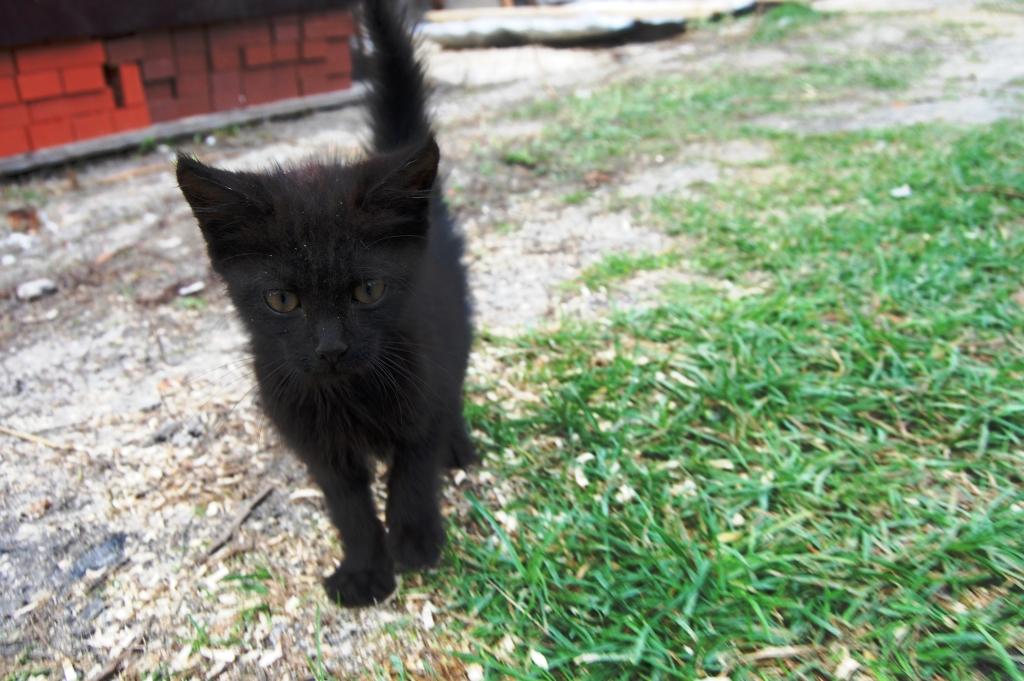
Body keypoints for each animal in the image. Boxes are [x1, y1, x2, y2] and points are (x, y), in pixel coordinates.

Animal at [176, 0, 475, 607]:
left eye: (368, 291)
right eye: (281, 299)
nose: (330, 347)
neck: (347, 393)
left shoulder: (421, 380)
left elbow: (412, 468)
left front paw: (415, 540)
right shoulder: (312, 440)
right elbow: (348, 506)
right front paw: (363, 570)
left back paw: (458, 444)